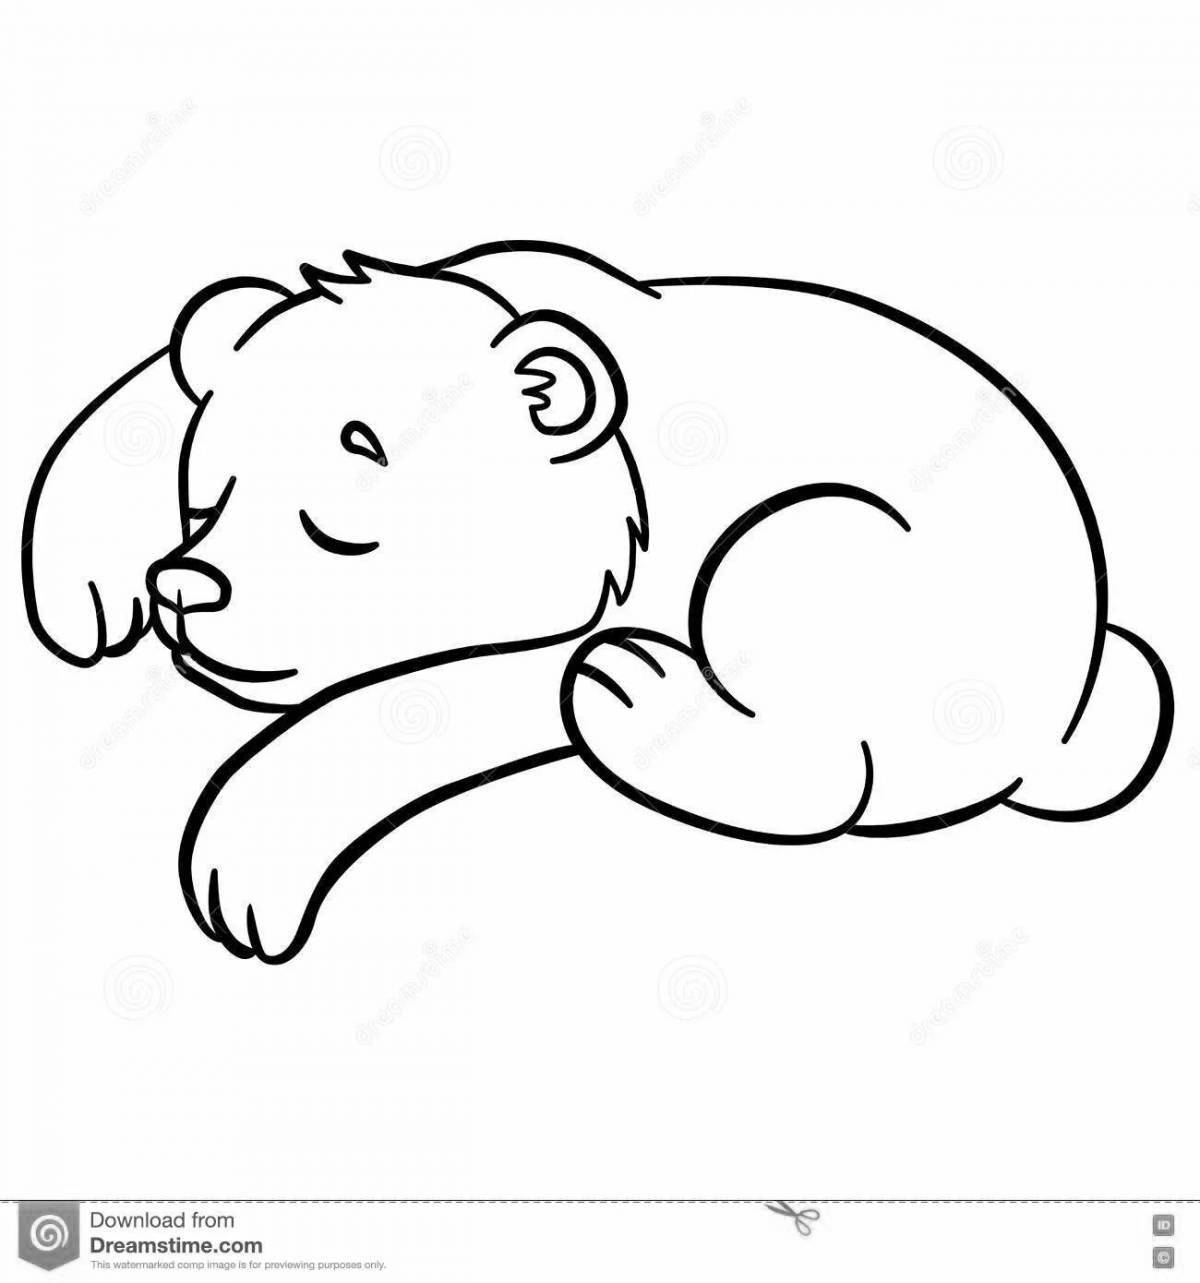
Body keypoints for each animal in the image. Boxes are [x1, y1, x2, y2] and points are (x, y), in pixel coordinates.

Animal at [22, 240, 1173, 963]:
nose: (184, 583)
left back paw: (640, 691)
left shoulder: (631, 575)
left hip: (888, 580)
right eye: (205, 497)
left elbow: (444, 695)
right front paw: (80, 582)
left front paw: (247, 867)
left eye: (342, 515)